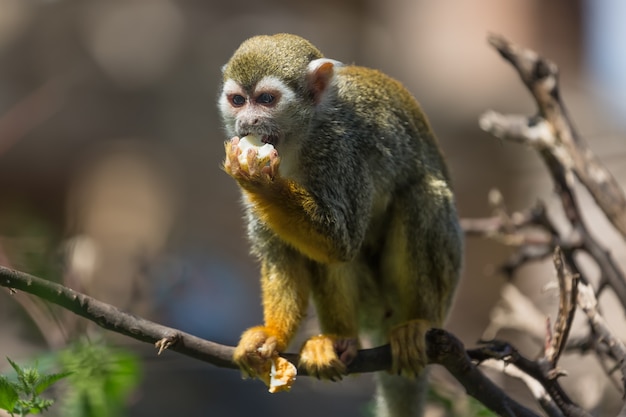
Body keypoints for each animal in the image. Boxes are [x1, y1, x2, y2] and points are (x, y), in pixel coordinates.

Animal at [217, 34, 460, 414]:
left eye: (267, 100)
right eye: (238, 100)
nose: (248, 122)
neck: (300, 138)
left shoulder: (339, 149)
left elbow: (340, 240)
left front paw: (261, 181)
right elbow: (282, 255)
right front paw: (272, 336)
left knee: (420, 195)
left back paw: (417, 323)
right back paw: (340, 340)